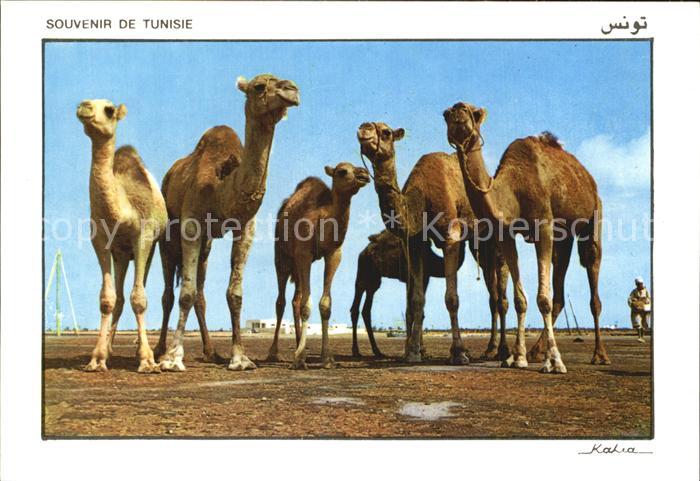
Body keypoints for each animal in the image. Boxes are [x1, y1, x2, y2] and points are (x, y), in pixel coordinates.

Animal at [76, 99, 167, 373]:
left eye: (108, 110)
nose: (84, 106)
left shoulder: (144, 237)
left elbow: (139, 298)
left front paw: (147, 360)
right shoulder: (100, 240)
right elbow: (108, 299)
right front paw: (97, 358)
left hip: (147, 252)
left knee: (139, 289)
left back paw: (140, 351)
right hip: (121, 256)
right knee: (118, 298)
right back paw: (109, 348)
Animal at [155, 74, 300, 372]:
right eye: (259, 86)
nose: (292, 90)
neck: (221, 187)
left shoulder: (245, 227)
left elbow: (234, 294)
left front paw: (240, 358)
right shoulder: (191, 224)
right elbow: (184, 293)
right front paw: (174, 359)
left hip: (207, 245)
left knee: (200, 293)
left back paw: (211, 352)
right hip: (169, 237)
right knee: (168, 294)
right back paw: (160, 350)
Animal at [267, 162, 370, 369]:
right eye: (342, 171)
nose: (364, 174)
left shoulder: (333, 254)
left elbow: (325, 304)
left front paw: (327, 359)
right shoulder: (304, 254)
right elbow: (307, 305)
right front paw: (299, 359)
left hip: (297, 266)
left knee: (295, 300)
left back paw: (299, 344)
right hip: (282, 257)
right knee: (281, 302)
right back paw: (274, 353)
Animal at [349, 229, 466, 358]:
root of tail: (364, 251)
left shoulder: (421, 278)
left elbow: (417, 310)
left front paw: (418, 350)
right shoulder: (416, 277)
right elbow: (414, 310)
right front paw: (413, 350)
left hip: (374, 279)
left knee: (366, 309)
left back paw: (377, 351)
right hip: (363, 270)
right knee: (356, 304)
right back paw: (356, 351)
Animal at [443, 102, 610, 373]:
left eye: (474, 112)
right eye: (445, 114)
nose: (459, 111)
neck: (513, 189)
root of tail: (587, 178)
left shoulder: (543, 226)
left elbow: (543, 298)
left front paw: (554, 361)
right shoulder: (507, 234)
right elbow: (519, 299)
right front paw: (517, 357)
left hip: (593, 218)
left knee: (592, 272)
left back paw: (600, 355)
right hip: (564, 237)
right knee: (559, 292)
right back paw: (534, 352)